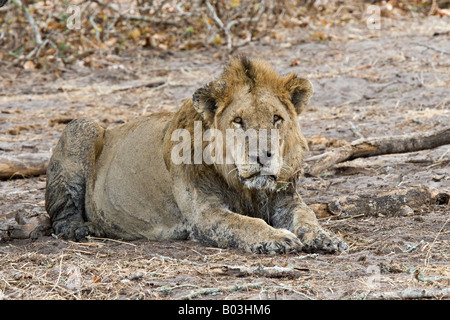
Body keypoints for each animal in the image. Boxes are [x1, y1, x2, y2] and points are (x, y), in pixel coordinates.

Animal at [45, 56, 348, 254]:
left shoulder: (286, 200)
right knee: (58, 216)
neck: (245, 187)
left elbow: (307, 217)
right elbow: (246, 223)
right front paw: (277, 238)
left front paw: (327, 238)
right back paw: (80, 229)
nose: (263, 156)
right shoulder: (205, 215)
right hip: (82, 126)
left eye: (277, 118)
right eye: (238, 121)